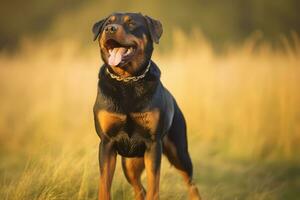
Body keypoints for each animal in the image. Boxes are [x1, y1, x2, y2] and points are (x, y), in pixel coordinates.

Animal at [92, 12, 200, 200]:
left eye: (132, 23)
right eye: (107, 24)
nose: (110, 29)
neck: (127, 80)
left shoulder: (153, 143)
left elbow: (153, 185)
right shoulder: (107, 143)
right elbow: (104, 185)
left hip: (179, 152)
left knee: (191, 183)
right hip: (129, 163)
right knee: (139, 189)